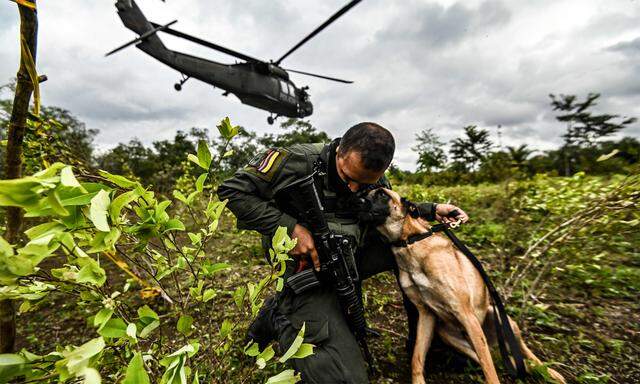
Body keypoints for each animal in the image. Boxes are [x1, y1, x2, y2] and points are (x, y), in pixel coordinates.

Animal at [364, 188, 564, 384]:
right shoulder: (426, 314)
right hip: (451, 335)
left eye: (382, 194)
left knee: (522, 355)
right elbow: (417, 358)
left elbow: (490, 372)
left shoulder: (465, 314)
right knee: (502, 362)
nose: (359, 198)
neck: (409, 242)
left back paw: (551, 373)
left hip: (502, 321)